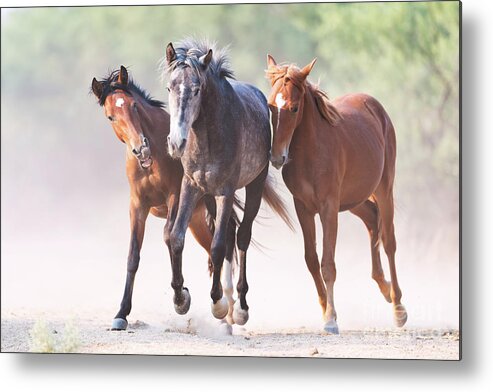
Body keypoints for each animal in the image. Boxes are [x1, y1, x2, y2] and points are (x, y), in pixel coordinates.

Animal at [91, 66, 239, 330]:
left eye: (134, 106)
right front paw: (121, 313)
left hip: (212, 204)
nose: (141, 149)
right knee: (212, 249)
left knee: (227, 240)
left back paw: (229, 309)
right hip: (197, 220)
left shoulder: (175, 197)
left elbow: (169, 238)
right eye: (110, 116)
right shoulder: (137, 206)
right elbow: (134, 255)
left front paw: (181, 298)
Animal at [164, 39, 292, 326]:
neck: (208, 136)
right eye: (169, 87)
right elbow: (177, 238)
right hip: (210, 197)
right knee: (232, 233)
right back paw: (230, 298)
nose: (176, 143)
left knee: (241, 237)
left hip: (253, 187)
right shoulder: (192, 186)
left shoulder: (226, 190)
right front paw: (180, 298)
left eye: (197, 90)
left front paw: (218, 303)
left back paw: (240, 307)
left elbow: (218, 246)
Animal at [266, 55, 408, 334]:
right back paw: (384, 286)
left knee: (389, 241)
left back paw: (398, 307)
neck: (312, 152)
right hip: (355, 199)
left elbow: (328, 264)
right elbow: (311, 260)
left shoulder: (329, 208)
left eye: (294, 108)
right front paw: (324, 311)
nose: (277, 158)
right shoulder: (304, 208)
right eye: (270, 105)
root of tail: (375, 105)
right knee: (373, 221)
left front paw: (331, 318)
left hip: (383, 189)